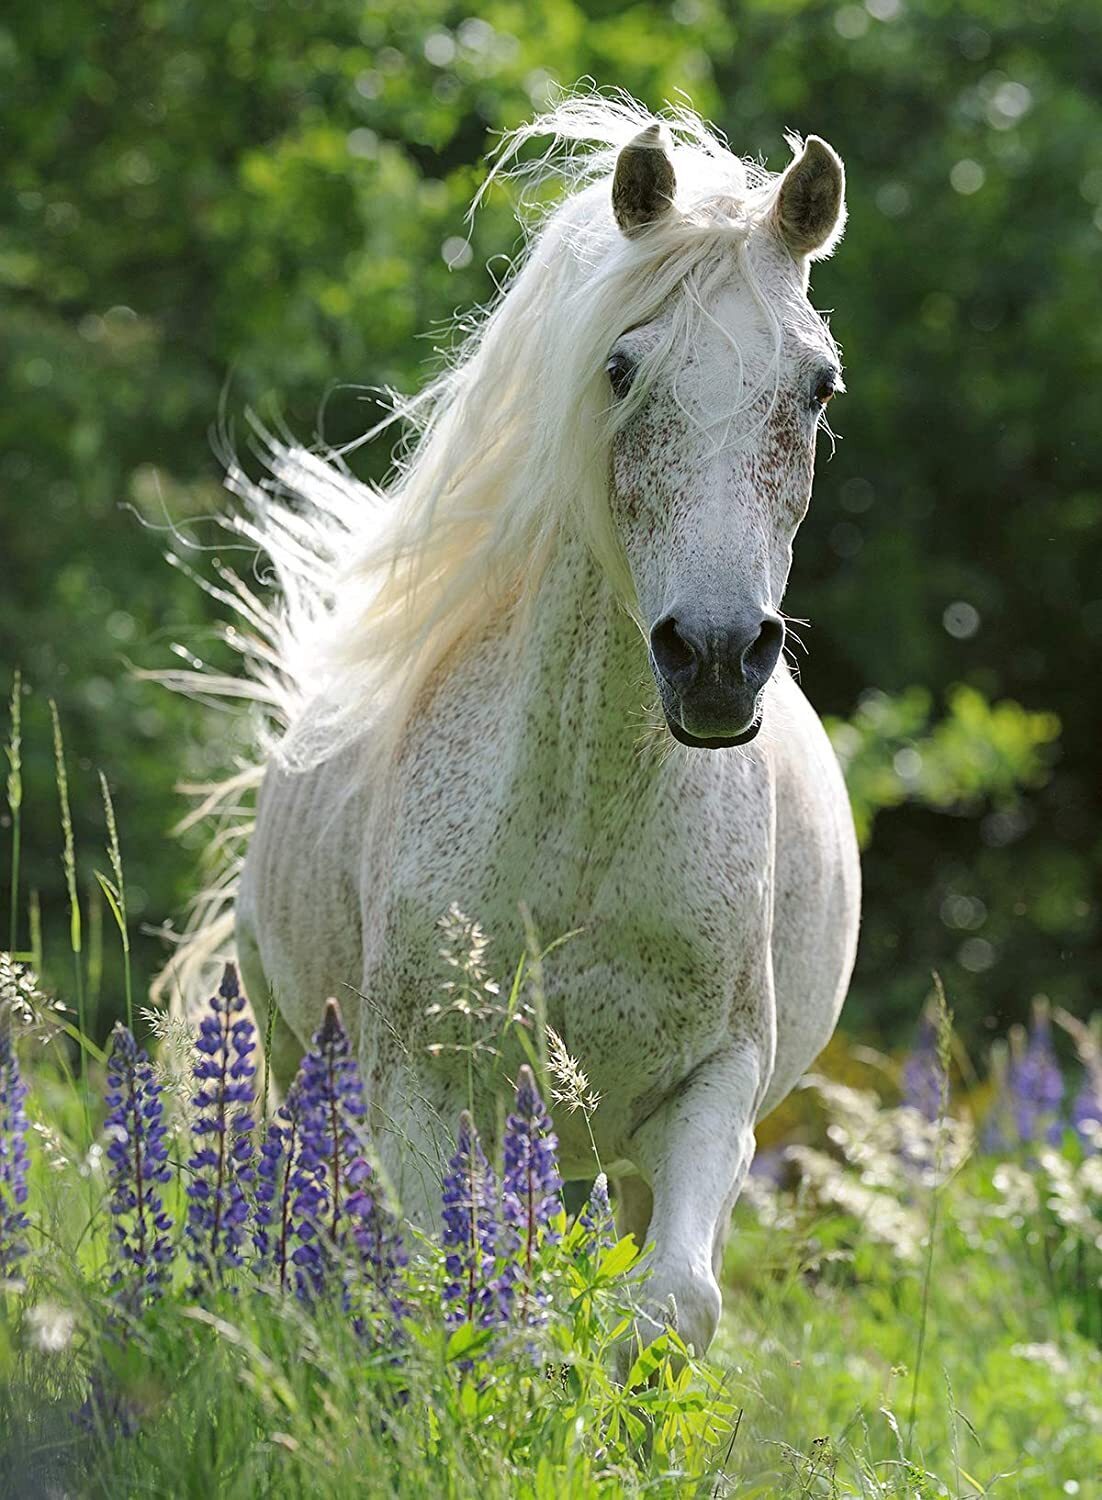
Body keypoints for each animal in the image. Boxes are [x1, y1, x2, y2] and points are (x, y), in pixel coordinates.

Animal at [172, 96, 863, 1362]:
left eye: (818, 387)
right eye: (621, 366)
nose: (713, 660)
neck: (582, 825)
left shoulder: (714, 1087)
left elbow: (670, 1305)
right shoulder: (417, 1087)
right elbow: (440, 1295)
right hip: (303, 1059)